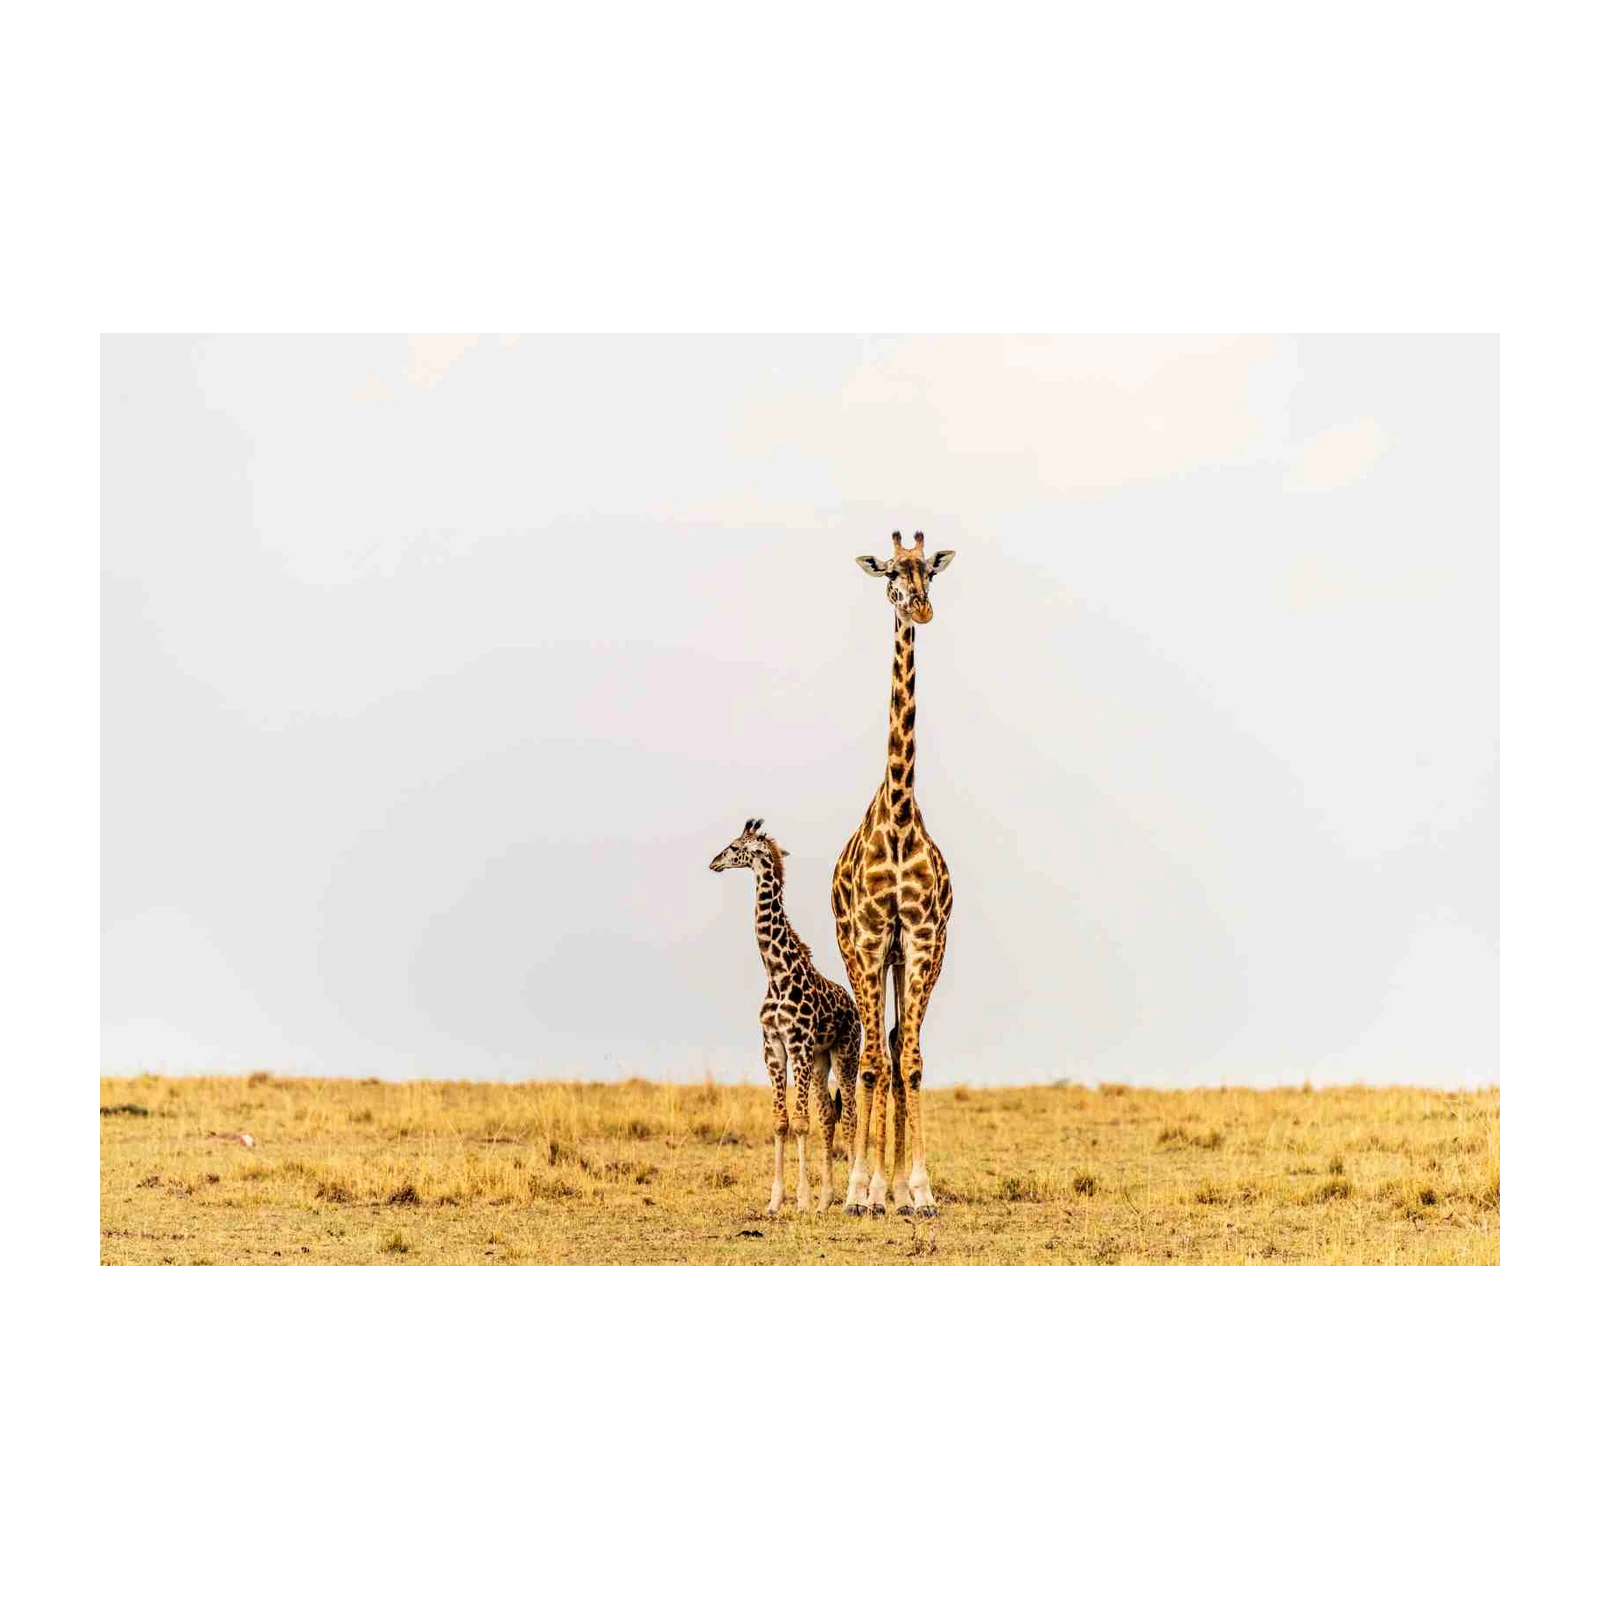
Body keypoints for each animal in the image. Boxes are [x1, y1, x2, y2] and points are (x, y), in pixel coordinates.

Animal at [710, 819, 862, 1213]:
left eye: (735, 847)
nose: (714, 862)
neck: (777, 974)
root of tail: (853, 1007)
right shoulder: (773, 1047)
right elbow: (781, 1121)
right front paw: (776, 1200)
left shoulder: (799, 1045)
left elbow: (801, 1121)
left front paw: (803, 1200)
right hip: (822, 1059)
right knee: (828, 1116)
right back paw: (827, 1200)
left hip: (845, 1053)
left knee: (851, 1115)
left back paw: (852, 1196)